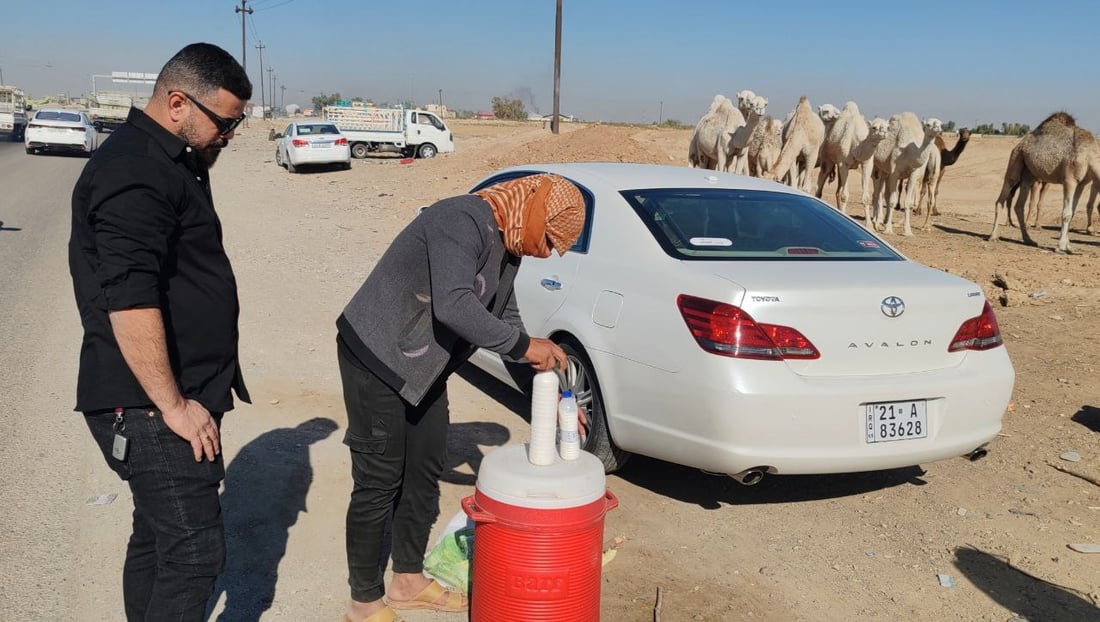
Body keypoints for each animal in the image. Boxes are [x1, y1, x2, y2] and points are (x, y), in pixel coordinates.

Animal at [990, 111, 1100, 252]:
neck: (1089, 155)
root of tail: (1020, 143)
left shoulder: (1081, 183)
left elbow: (1072, 212)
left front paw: (1068, 245)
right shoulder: (1069, 180)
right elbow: (1066, 213)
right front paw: (1061, 246)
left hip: (1028, 174)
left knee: (1019, 205)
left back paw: (1029, 240)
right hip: (1016, 159)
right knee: (1002, 196)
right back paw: (993, 236)